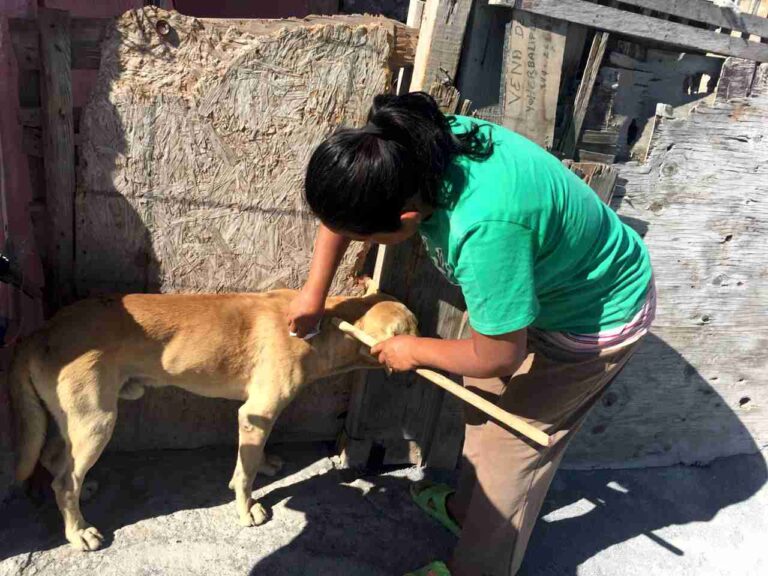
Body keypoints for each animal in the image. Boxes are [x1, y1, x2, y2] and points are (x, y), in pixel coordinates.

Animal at [9, 290, 416, 552]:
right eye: (407, 332)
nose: (422, 356)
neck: (325, 325)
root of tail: (40, 332)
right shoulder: (256, 413)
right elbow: (244, 475)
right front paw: (246, 508)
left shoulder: (258, 417)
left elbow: (254, 457)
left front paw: (264, 463)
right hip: (97, 422)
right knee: (64, 481)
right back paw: (78, 531)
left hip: (77, 421)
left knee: (55, 460)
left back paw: (84, 491)